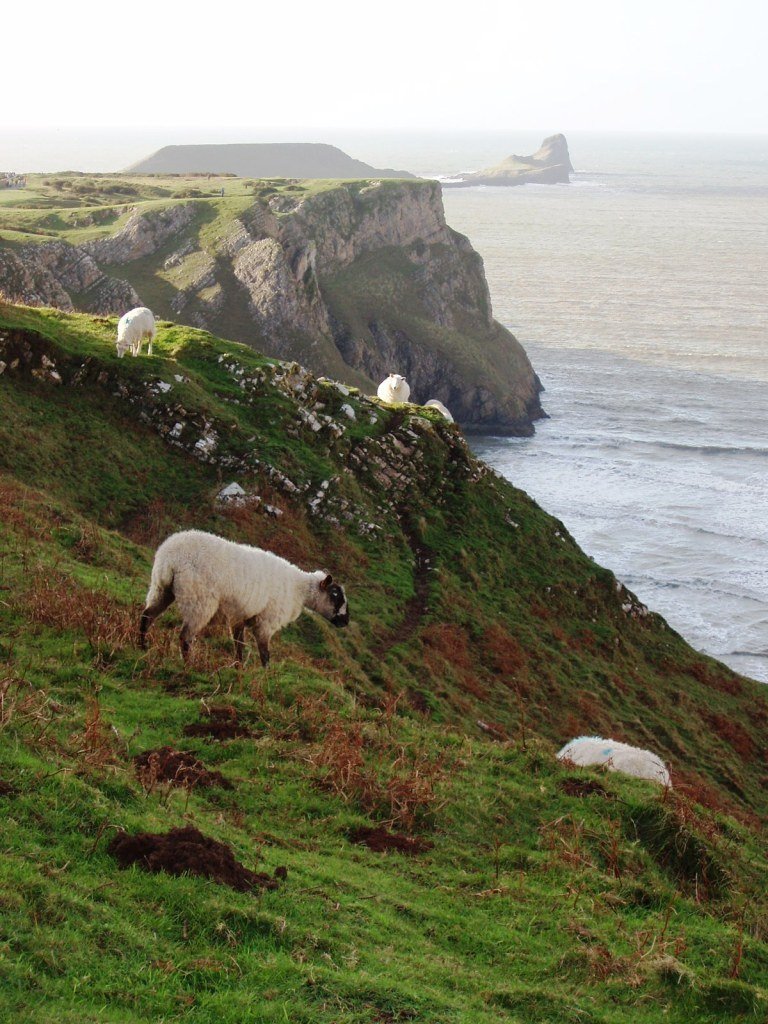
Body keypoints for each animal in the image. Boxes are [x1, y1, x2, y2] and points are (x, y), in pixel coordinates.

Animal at [140, 528, 350, 663]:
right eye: (335, 594)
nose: (345, 622)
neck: (298, 589)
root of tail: (171, 559)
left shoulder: (240, 614)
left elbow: (239, 645)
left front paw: (238, 668)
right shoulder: (266, 622)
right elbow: (264, 653)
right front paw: (266, 679)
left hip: (161, 588)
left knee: (146, 616)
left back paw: (142, 647)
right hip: (200, 601)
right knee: (185, 636)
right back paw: (187, 665)